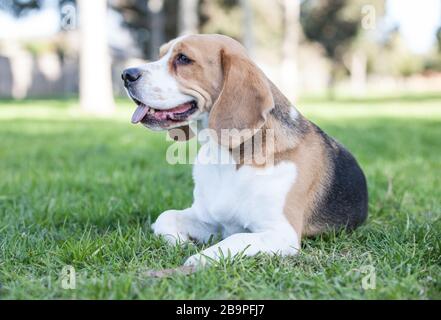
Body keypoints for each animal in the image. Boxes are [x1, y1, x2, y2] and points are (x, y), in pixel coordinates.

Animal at [122, 33, 366, 266]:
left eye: (183, 59)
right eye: (161, 54)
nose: (126, 74)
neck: (226, 159)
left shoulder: (281, 233)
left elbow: (236, 238)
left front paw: (199, 259)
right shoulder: (210, 220)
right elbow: (165, 216)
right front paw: (180, 242)